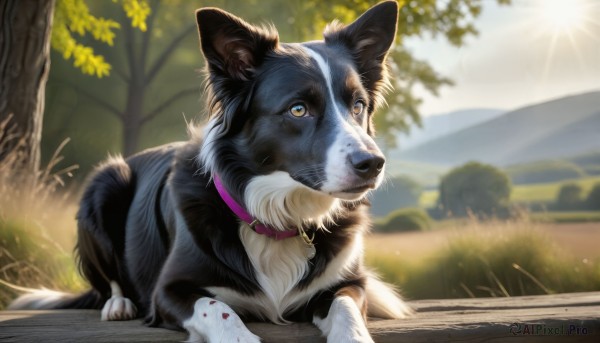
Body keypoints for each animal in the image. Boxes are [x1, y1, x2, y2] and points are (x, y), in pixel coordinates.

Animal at [10, 1, 412, 342]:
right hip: (105, 183)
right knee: (108, 282)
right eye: (298, 109)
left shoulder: (347, 284)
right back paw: (118, 303)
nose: (372, 164)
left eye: (358, 105)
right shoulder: (168, 291)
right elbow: (218, 308)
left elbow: (346, 311)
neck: (276, 218)